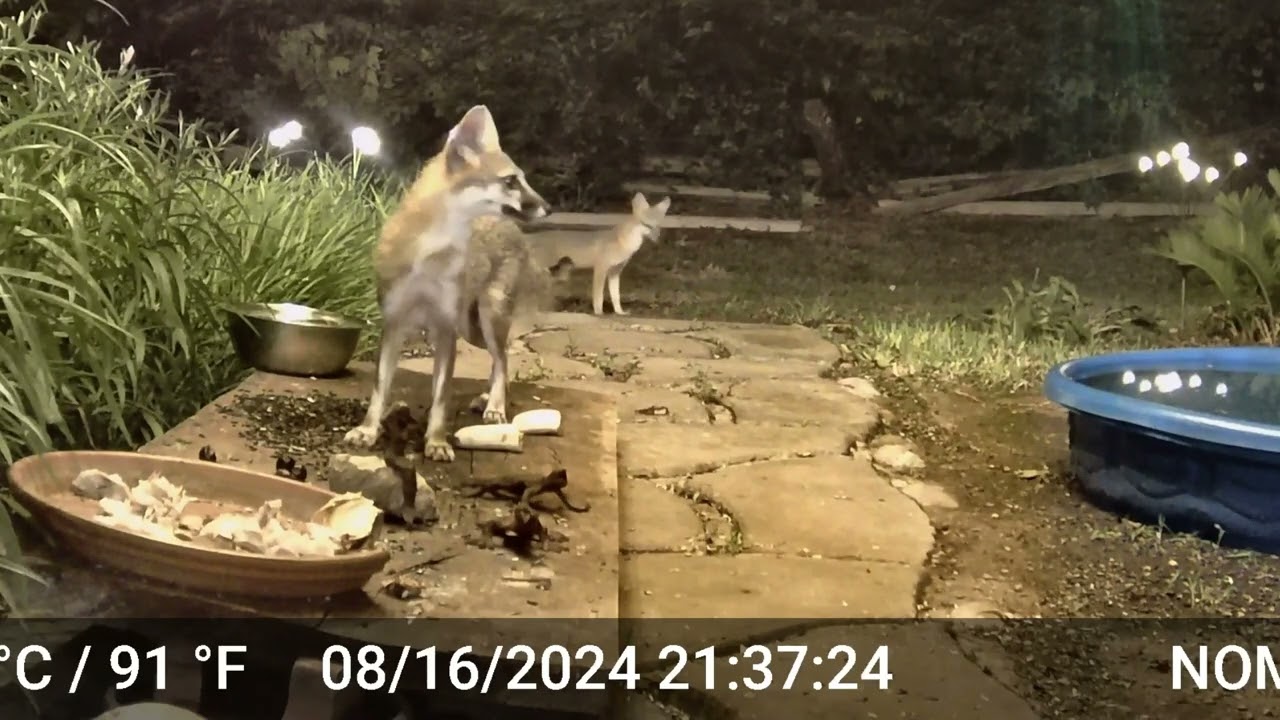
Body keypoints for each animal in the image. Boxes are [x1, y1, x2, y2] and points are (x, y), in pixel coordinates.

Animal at [343, 105, 553, 462]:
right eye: (511, 181)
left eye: (521, 180)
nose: (548, 208)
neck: (431, 255)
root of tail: (516, 233)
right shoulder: (395, 324)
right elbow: (380, 389)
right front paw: (368, 430)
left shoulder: (445, 329)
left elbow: (441, 397)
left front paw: (437, 441)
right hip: (474, 329)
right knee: (501, 359)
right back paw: (488, 398)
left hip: (487, 318)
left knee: (504, 358)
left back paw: (495, 406)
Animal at [533, 192, 671, 315]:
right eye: (646, 224)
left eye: (658, 225)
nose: (657, 239)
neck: (622, 243)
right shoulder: (600, 268)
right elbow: (598, 296)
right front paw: (599, 313)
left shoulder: (615, 272)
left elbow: (616, 296)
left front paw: (620, 312)